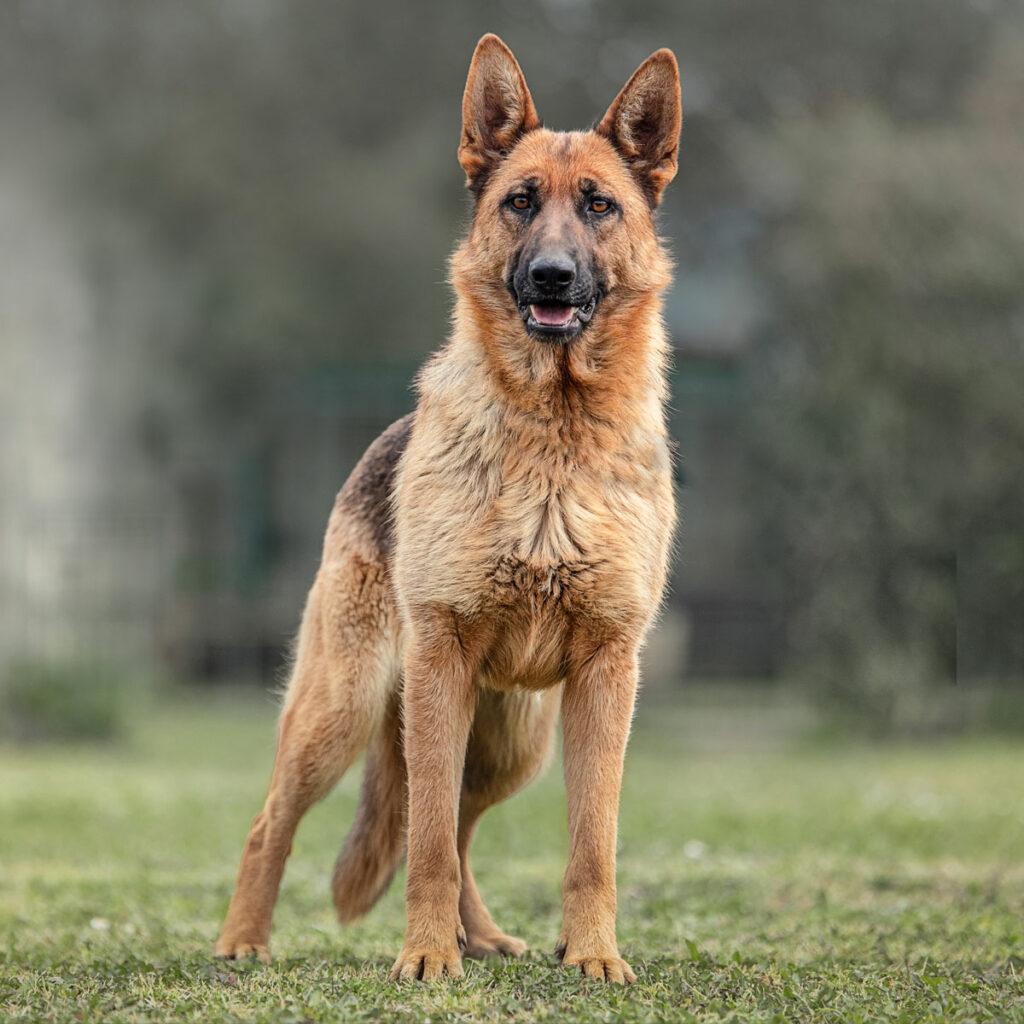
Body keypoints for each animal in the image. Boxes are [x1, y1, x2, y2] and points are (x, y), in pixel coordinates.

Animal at [215, 36, 679, 983]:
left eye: (600, 206)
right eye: (519, 202)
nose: (551, 276)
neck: (553, 439)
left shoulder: (607, 676)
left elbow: (592, 844)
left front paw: (593, 955)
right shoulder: (440, 666)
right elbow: (422, 840)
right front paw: (426, 958)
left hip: (515, 744)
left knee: (460, 827)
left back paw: (486, 935)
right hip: (347, 709)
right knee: (277, 822)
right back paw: (244, 942)